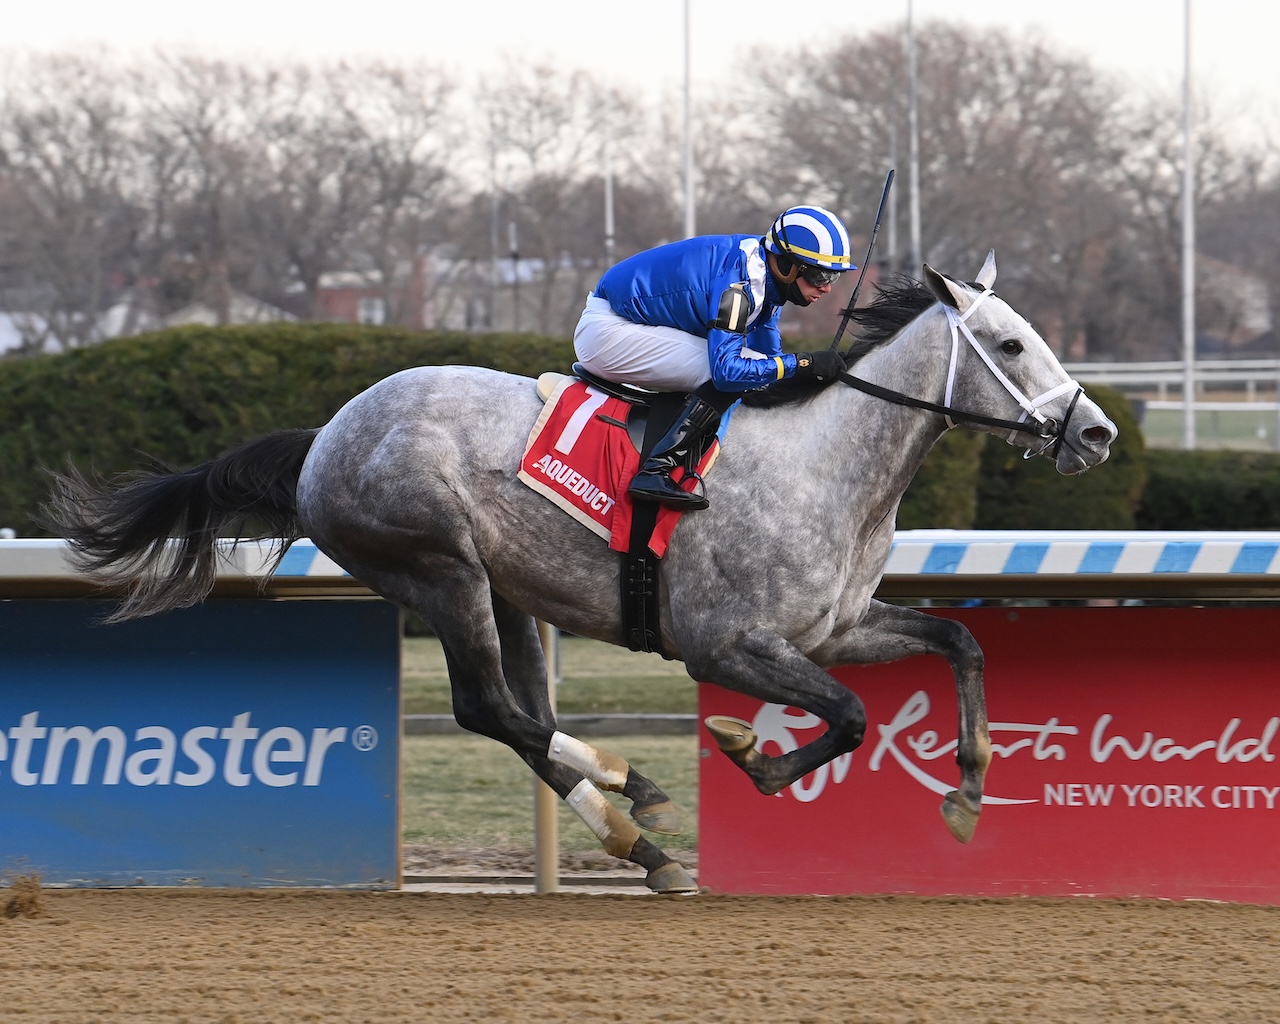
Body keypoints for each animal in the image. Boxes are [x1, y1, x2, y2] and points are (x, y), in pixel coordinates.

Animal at [49, 258, 1111, 896]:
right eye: (1010, 344)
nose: (1096, 432)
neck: (827, 465)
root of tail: (325, 437)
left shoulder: (833, 629)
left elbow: (958, 641)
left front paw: (968, 790)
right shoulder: (726, 643)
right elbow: (847, 717)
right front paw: (751, 754)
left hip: (506, 591)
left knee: (520, 713)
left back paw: (634, 823)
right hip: (441, 571)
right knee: (488, 707)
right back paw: (632, 800)